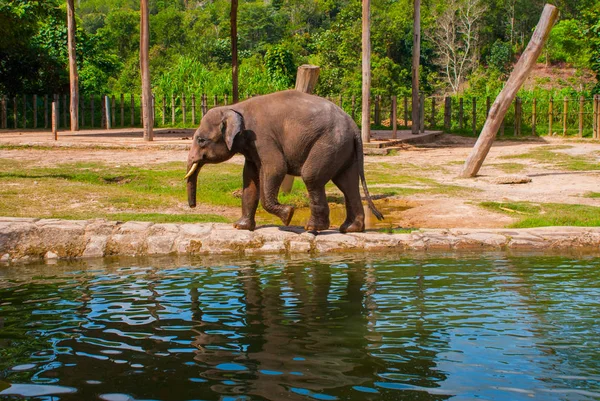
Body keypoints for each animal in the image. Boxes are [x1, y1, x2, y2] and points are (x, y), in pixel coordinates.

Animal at [184, 88, 384, 231]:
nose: (193, 206)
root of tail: (355, 127)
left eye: (201, 140)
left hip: (329, 143)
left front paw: (288, 215)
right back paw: (350, 229)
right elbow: (250, 178)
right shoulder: (251, 147)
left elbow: (275, 168)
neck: (235, 108)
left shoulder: (262, 137)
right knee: (347, 183)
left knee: (312, 177)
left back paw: (313, 228)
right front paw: (240, 227)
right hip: (343, 148)